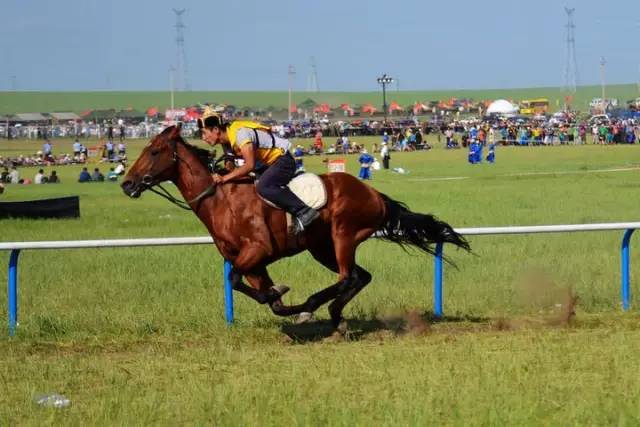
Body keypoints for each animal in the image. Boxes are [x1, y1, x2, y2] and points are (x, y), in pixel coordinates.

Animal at [121, 125, 470, 332]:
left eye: (153, 151)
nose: (127, 184)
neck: (220, 199)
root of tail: (375, 195)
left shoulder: (257, 250)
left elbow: (237, 281)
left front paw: (291, 299)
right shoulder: (253, 263)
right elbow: (265, 298)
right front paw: (279, 295)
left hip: (343, 235)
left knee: (347, 277)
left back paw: (318, 307)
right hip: (322, 247)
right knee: (360, 276)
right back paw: (335, 316)